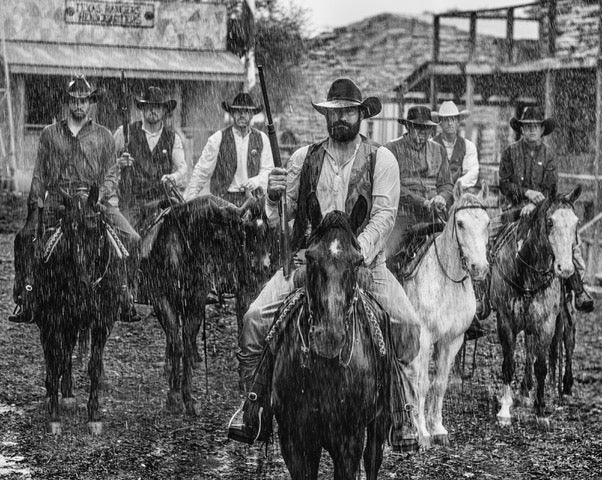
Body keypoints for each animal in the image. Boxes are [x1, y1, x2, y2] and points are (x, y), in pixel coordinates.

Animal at [33, 185, 123, 436]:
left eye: (94, 228)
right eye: (67, 230)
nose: (82, 281)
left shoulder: (103, 323)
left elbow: (94, 367)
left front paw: (93, 416)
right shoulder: (54, 319)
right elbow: (55, 362)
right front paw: (54, 417)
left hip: (71, 324)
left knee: (67, 351)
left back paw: (68, 394)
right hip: (49, 322)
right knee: (52, 355)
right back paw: (54, 395)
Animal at [139, 193, 274, 414]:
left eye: (267, 231)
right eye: (246, 231)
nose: (262, 266)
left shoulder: (200, 300)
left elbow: (187, 341)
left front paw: (188, 397)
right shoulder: (161, 300)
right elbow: (177, 343)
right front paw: (174, 396)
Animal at [272, 199, 390, 480]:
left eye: (357, 261)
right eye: (310, 257)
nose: (329, 338)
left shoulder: (348, 443)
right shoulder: (294, 442)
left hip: (378, 423)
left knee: (373, 460)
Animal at [384, 182, 488, 448]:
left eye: (486, 222)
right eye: (460, 223)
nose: (480, 268)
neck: (446, 280)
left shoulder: (453, 340)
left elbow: (439, 384)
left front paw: (438, 429)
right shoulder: (424, 338)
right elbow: (422, 383)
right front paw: (422, 433)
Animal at [488, 186, 580, 426]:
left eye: (576, 223)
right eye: (549, 222)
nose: (565, 269)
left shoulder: (546, 323)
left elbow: (542, 366)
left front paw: (540, 411)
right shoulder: (506, 321)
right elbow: (509, 363)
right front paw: (505, 410)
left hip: (567, 313)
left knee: (568, 342)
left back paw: (565, 388)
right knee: (530, 348)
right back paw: (524, 390)